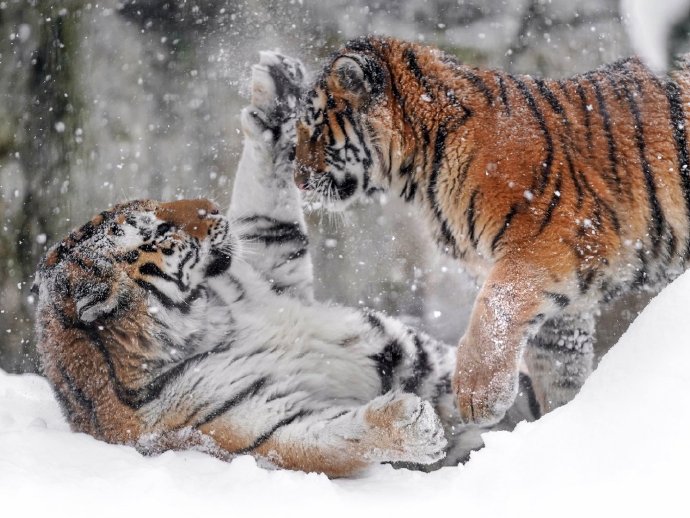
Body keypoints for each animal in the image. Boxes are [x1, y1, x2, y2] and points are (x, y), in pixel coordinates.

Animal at [32, 50, 536, 478]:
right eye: (159, 230)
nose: (212, 207)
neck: (205, 317)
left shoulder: (268, 268)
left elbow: (267, 206)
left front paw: (276, 93)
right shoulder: (260, 432)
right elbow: (335, 440)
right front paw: (412, 425)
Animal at [292, 35, 690, 426]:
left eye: (315, 129)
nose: (297, 180)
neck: (421, 169)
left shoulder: (551, 239)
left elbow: (496, 308)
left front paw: (477, 396)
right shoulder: (567, 307)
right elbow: (558, 369)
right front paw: (558, 422)